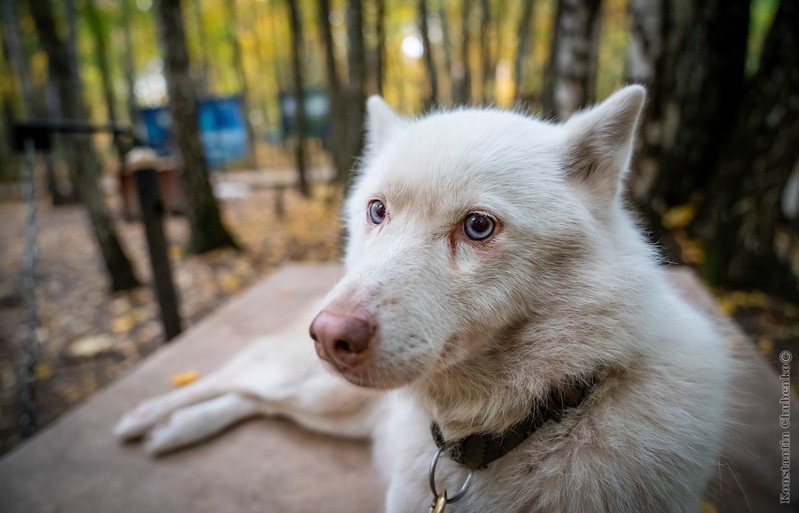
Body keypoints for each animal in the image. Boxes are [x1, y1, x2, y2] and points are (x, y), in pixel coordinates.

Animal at [115, 86, 736, 510]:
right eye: (377, 211)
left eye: (478, 227)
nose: (329, 334)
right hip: (320, 391)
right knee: (239, 381)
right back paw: (151, 418)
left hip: (330, 408)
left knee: (256, 400)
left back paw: (175, 430)